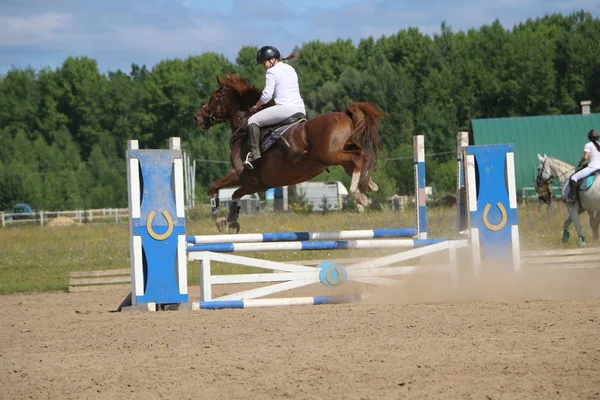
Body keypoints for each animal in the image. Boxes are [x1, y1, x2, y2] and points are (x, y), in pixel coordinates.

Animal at [195, 75, 386, 233]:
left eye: (214, 98)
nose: (197, 117)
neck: (243, 130)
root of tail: (346, 115)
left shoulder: (250, 181)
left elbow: (227, 191)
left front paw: (224, 220)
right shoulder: (248, 180)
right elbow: (219, 188)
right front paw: (228, 221)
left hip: (328, 155)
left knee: (359, 157)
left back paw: (358, 193)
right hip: (340, 156)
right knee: (362, 156)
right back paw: (368, 185)